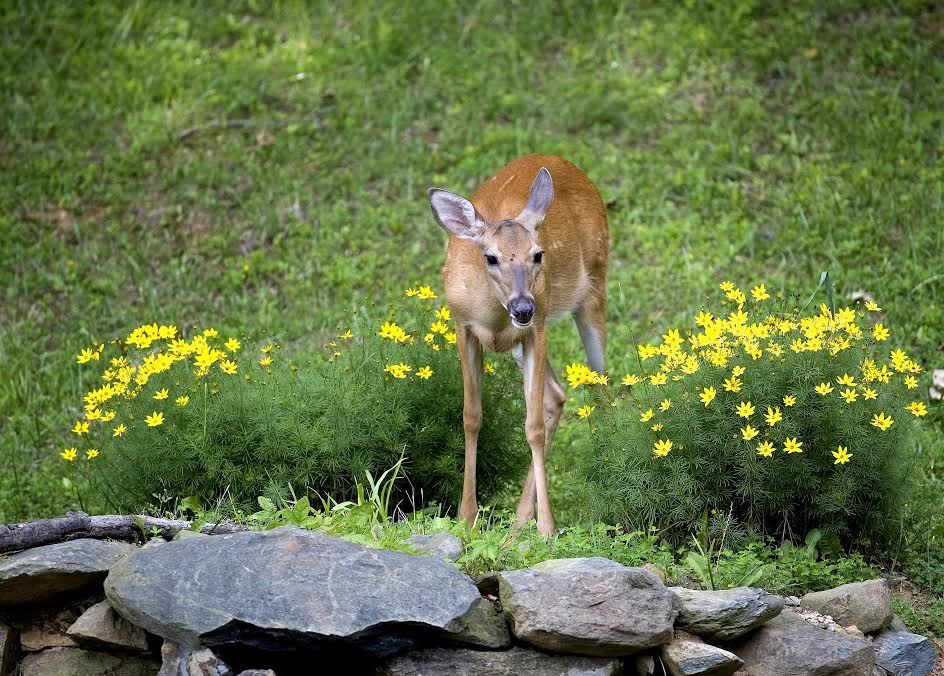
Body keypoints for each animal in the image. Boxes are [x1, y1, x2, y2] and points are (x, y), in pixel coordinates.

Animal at [427, 154, 608, 537]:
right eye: (491, 257)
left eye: (538, 254)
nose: (523, 307)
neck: (493, 316)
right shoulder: (463, 326)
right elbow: (471, 416)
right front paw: (466, 517)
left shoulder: (537, 329)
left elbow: (533, 426)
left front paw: (548, 529)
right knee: (556, 394)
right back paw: (518, 522)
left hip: (594, 286)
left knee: (601, 389)